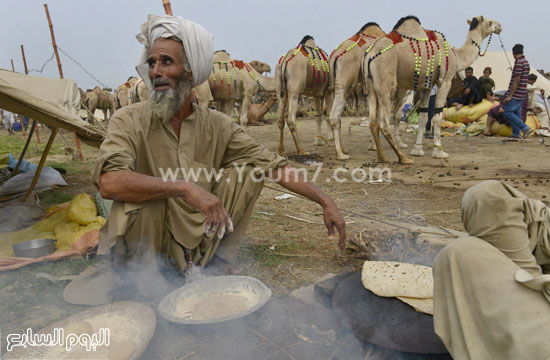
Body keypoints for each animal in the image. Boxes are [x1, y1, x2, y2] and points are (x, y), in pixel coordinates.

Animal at [328, 21, 388, 159]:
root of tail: (335, 55)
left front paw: (373, 146)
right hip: (345, 79)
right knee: (333, 116)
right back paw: (340, 154)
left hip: (336, 84)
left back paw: (342, 149)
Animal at [364, 15, 502, 163]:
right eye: (489, 22)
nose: (500, 26)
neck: (456, 55)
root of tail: (370, 54)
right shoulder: (445, 80)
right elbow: (437, 116)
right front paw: (439, 151)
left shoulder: (426, 86)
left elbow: (423, 117)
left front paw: (418, 150)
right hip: (386, 83)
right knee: (384, 123)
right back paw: (403, 157)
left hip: (371, 85)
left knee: (373, 122)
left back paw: (382, 156)